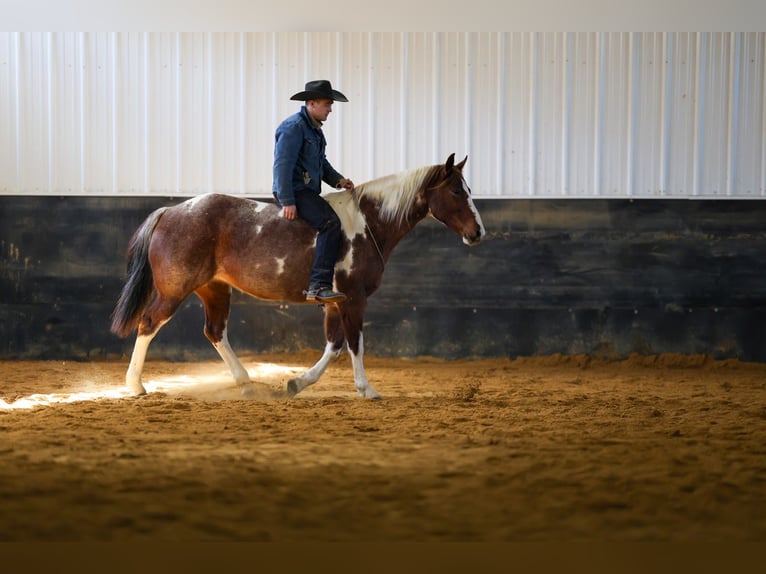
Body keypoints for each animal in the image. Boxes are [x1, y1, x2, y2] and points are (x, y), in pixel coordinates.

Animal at [110, 153, 485, 399]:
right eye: (456, 191)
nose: (478, 232)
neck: (366, 224)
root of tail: (170, 211)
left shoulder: (335, 303)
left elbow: (334, 346)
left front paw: (296, 383)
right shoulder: (354, 299)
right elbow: (355, 343)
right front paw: (366, 389)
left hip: (214, 290)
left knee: (215, 332)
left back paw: (246, 383)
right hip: (174, 291)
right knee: (148, 323)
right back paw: (136, 386)